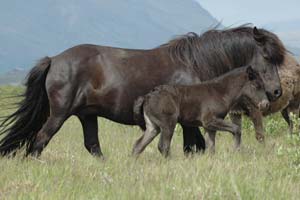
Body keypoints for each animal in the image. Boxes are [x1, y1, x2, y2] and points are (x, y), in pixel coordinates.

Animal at [0, 25, 286, 158]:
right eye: (267, 57)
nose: (276, 92)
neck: (197, 64)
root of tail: (54, 59)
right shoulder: (191, 121)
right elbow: (193, 147)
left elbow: (197, 147)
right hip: (59, 114)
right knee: (40, 140)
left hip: (87, 115)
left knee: (92, 145)